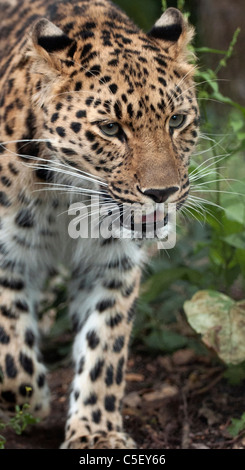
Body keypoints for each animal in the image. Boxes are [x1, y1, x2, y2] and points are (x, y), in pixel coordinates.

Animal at [0, 0, 199, 450]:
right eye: (110, 128)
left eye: (176, 121)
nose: (163, 192)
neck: (68, 196)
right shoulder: (6, 253)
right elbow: (9, 346)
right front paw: (31, 398)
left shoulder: (111, 266)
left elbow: (104, 345)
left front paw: (96, 431)